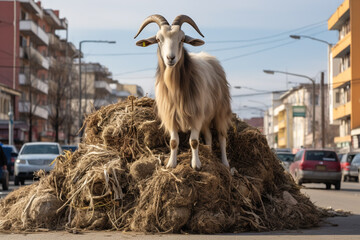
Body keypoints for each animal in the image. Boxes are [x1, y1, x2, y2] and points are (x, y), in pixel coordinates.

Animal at [134, 14, 232, 170]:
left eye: (182, 39)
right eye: (158, 39)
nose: (170, 58)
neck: (175, 89)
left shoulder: (196, 115)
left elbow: (194, 141)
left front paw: (196, 165)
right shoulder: (171, 116)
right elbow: (174, 142)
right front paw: (171, 164)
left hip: (220, 111)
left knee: (222, 137)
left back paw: (225, 164)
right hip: (206, 116)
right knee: (209, 136)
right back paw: (210, 156)